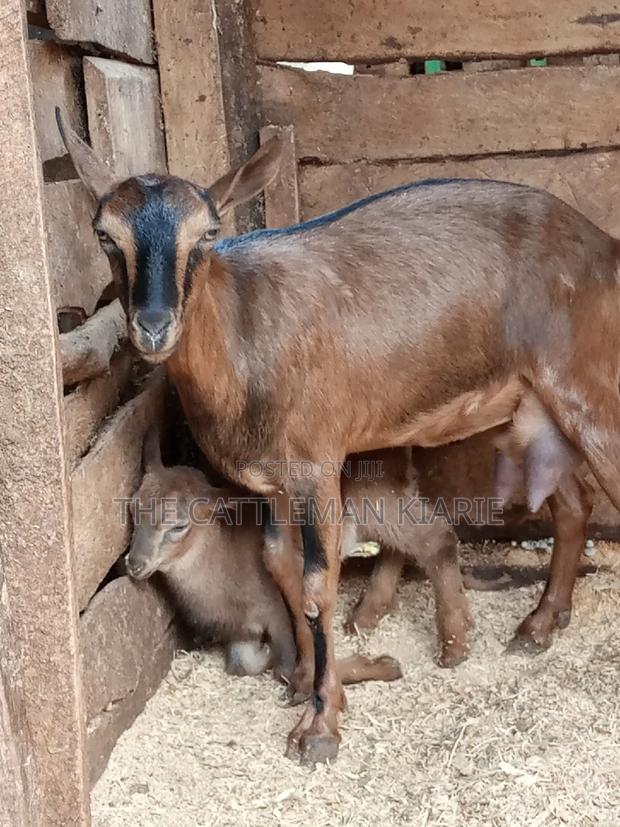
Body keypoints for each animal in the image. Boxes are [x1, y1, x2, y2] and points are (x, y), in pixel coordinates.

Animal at [126, 429, 402, 689]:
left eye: (179, 526)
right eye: (132, 506)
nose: (135, 563)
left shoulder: (276, 608)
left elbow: (290, 669)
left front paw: (383, 665)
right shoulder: (239, 629)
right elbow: (241, 664)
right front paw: (265, 652)